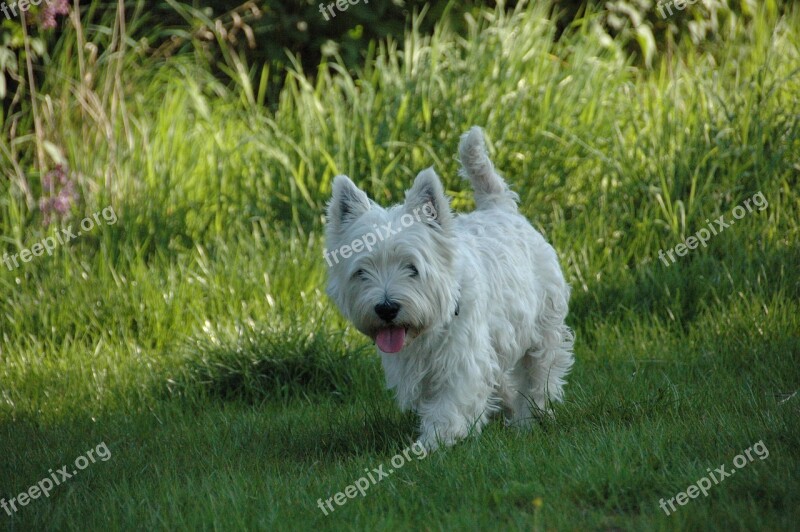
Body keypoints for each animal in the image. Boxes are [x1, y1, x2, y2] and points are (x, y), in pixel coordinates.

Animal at [324, 127, 576, 446]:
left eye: (412, 268)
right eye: (361, 272)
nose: (386, 308)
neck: (425, 331)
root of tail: (500, 207)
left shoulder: (462, 358)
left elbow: (450, 405)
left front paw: (433, 443)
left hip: (543, 326)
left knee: (539, 373)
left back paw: (529, 419)